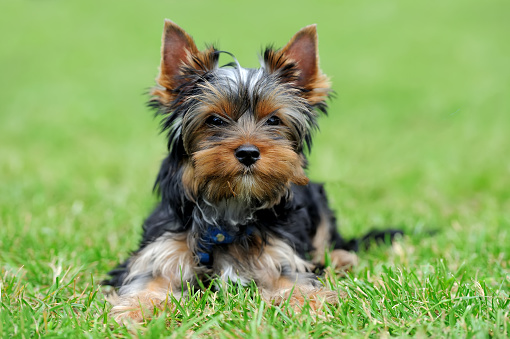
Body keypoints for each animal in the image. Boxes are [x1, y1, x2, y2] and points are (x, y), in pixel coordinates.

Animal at [101, 19, 400, 324]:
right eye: (215, 120)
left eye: (274, 120)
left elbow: (295, 283)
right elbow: (148, 281)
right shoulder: (163, 249)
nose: (248, 153)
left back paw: (341, 259)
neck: (232, 205)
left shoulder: (281, 256)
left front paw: (311, 308)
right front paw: (135, 310)